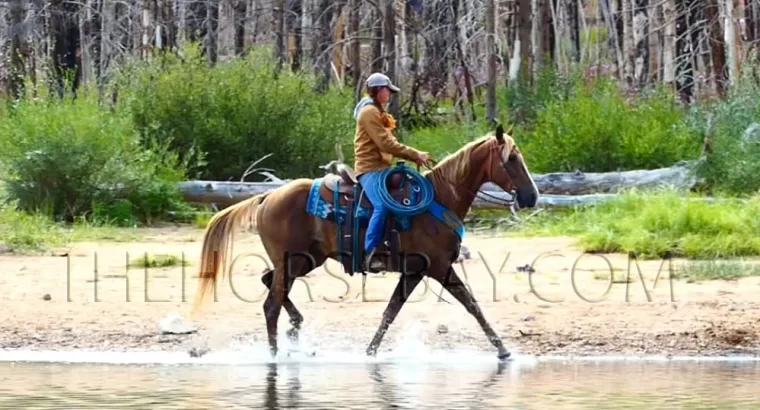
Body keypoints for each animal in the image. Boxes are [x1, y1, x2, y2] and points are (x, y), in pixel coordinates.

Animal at [193, 123, 536, 360]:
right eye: (511, 159)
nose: (531, 196)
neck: (440, 198)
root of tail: (267, 197)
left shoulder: (414, 271)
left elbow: (390, 312)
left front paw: (370, 352)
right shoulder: (438, 268)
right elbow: (472, 305)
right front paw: (503, 351)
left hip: (304, 260)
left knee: (269, 284)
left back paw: (296, 326)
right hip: (292, 261)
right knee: (270, 305)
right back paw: (275, 354)